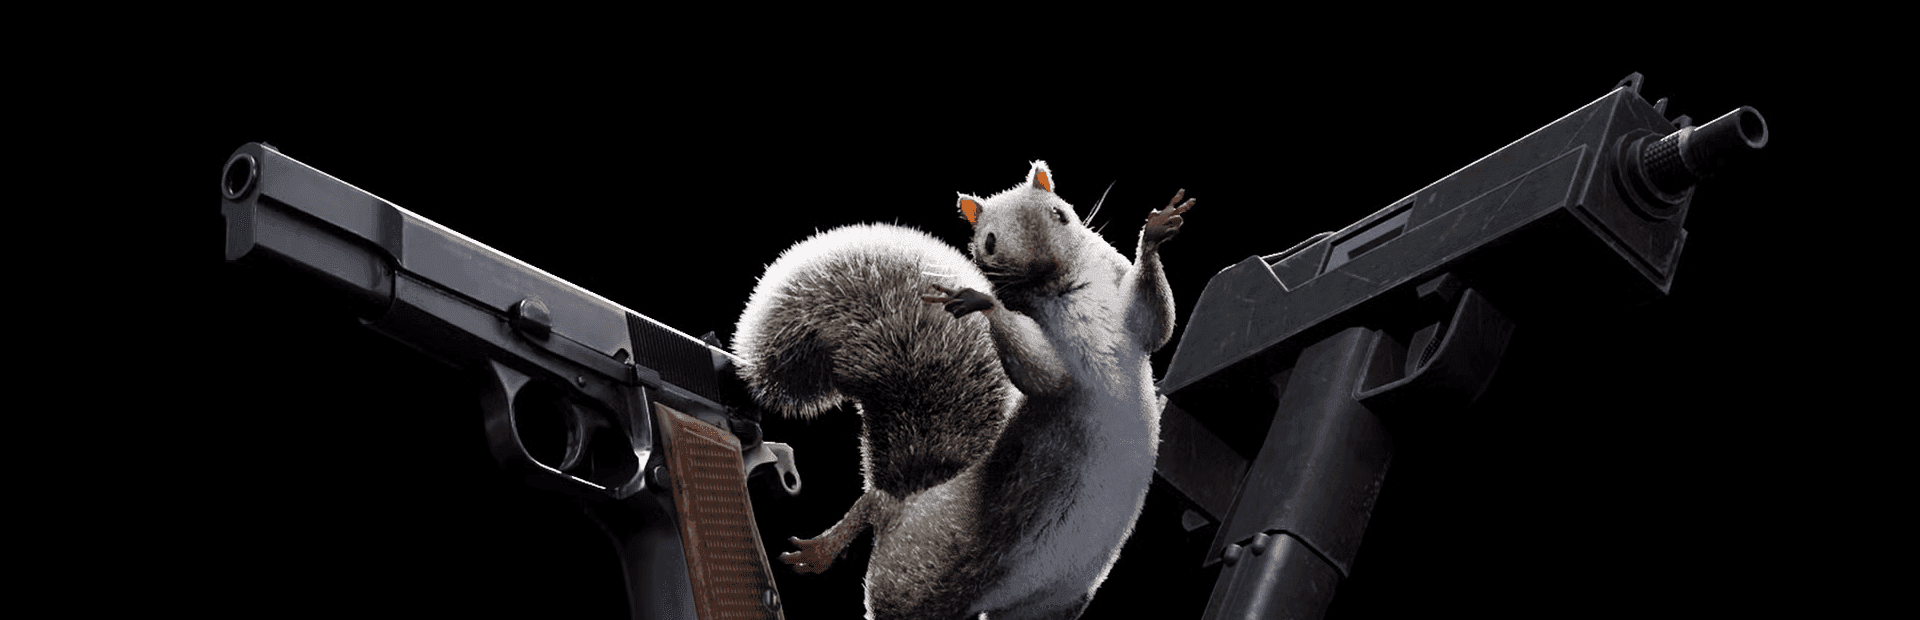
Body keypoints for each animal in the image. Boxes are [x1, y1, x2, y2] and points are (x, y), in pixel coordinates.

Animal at [730, 161, 1192, 620]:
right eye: (989, 242)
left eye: (1059, 213)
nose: (1043, 266)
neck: (1067, 294)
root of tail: (906, 503)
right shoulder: (1057, 360)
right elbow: (1045, 376)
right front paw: (981, 300)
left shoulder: (1124, 307)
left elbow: (1157, 322)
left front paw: (1157, 229)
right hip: (918, 578)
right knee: (873, 507)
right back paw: (821, 550)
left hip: (1051, 603)